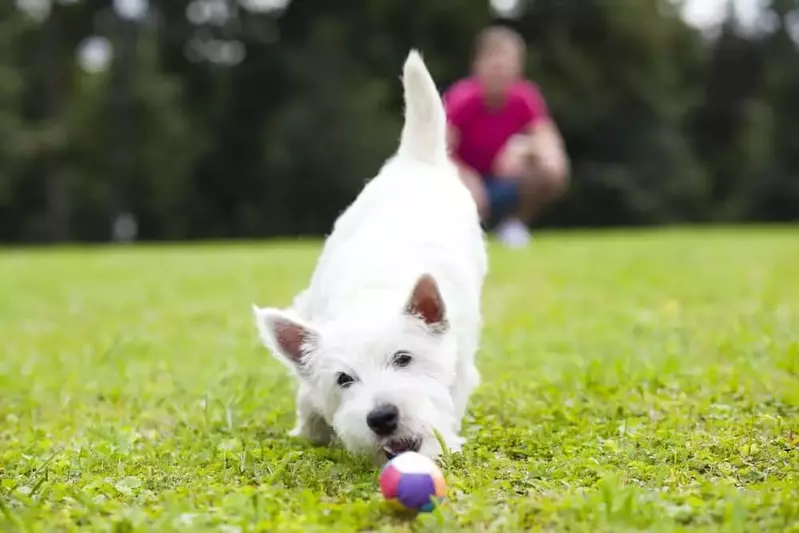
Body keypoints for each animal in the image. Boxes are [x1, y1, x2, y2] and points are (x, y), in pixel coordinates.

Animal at [253, 50, 488, 462]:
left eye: (403, 358)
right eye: (344, 379)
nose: (382, 417)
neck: (373, 294)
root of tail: (415, 160)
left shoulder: (459, 360)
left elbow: (450, 398)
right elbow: (308, 396)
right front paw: (310, 429)